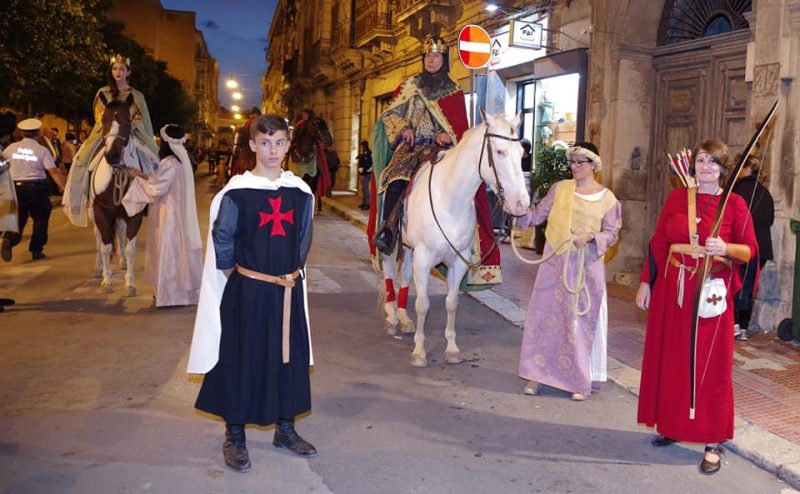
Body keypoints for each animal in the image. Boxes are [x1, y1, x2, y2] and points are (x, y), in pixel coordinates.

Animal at [90, 93, 148, 294]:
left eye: (127, 121)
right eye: (104, 121)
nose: (112, 156)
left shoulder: (134, 213)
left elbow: (130, 248)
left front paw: (130, 283)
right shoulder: (100, 211)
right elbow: (105, 246)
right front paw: (107, 281)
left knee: (121, 234)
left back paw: (122, 262)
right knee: (98, 238)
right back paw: (99, 268)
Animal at [382, 112, 532, 366]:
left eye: (522, 154)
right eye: (499, 151)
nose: (521, 204)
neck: (449, 199)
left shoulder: (457, 261)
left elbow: (452, 303)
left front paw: (451, 349)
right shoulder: (424, 259)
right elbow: (423, 304)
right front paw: (419, 351)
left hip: (410, 248)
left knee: (405, 275)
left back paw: (403, 318)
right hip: (392, 244)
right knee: (389, 271)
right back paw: (392, 316)